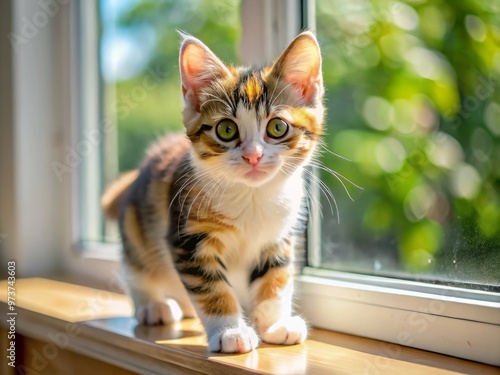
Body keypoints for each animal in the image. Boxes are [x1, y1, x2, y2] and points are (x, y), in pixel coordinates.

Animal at [101, 30, 324, 354]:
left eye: (278, 127)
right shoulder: (188, 238)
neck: (252, 197)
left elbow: (275, 279)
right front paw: (231, 331)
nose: (253, 156)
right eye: (227, 130)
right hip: (135, 224)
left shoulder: (277, 238)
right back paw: (154, 306)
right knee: (135, 269)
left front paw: (275, 324)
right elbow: (211, 287)